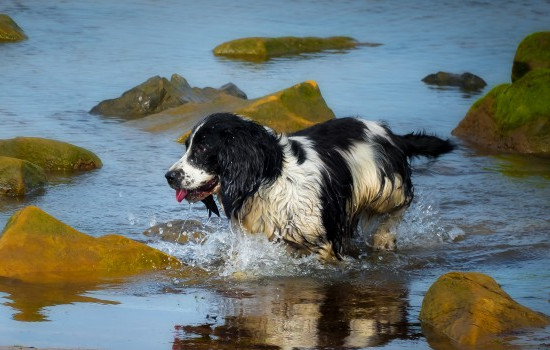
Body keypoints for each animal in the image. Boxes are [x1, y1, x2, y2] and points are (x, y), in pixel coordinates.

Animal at [166, 112, 454, 260]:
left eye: (202, 148)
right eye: (188, 146)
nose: (169, 176)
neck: (270, 179)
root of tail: (392, 136)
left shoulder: (319, 241)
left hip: (386, 188)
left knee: (397, 208)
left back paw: (384, 238)